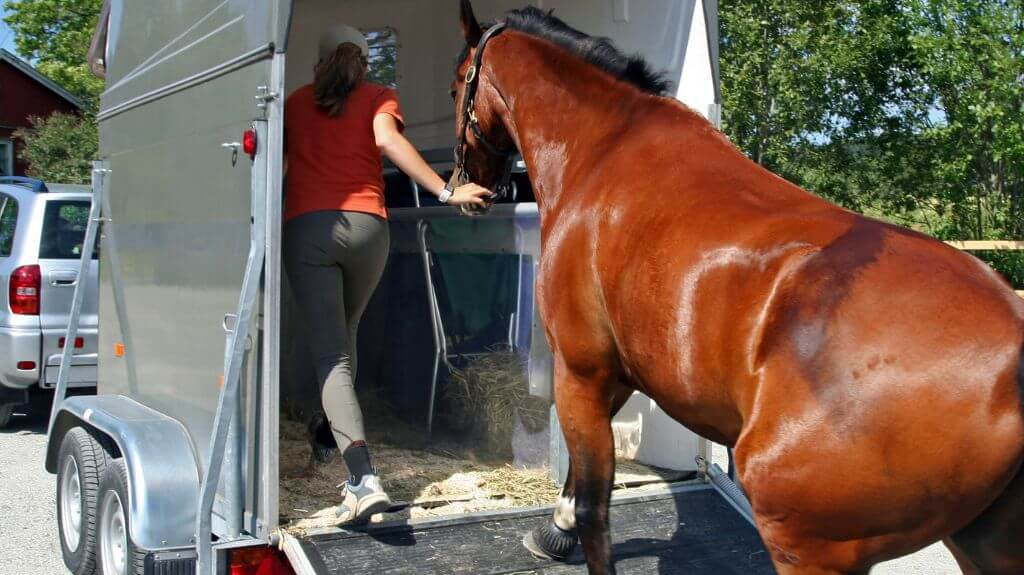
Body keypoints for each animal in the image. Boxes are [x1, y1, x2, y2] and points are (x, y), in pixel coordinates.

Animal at [449, 2, 1024, 574]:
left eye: (457, 84)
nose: (468, 186)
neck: (605, 151)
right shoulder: (620, 369)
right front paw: (554, 531)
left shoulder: (580, 368)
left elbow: (595, 505)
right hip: (983, 545)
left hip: (807, 545)